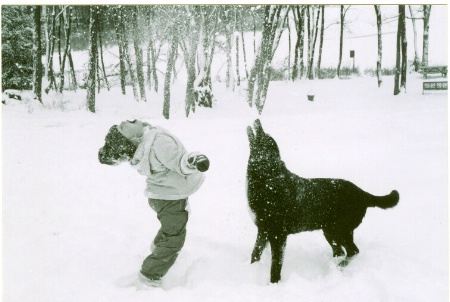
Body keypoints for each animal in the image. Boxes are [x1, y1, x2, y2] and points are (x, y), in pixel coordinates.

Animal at [248, 119, 400, 284]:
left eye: (264, 136)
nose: (257, 120)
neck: (269, 179)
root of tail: (362, 193)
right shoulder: (263, 229)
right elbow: (255, 253)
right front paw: (250, 269)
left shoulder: (278, 234)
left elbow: (276, 263)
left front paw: (274, 283)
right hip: (330, 231)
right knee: (341, 251)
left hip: (339, 229)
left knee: (353, 251)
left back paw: (338, 267)